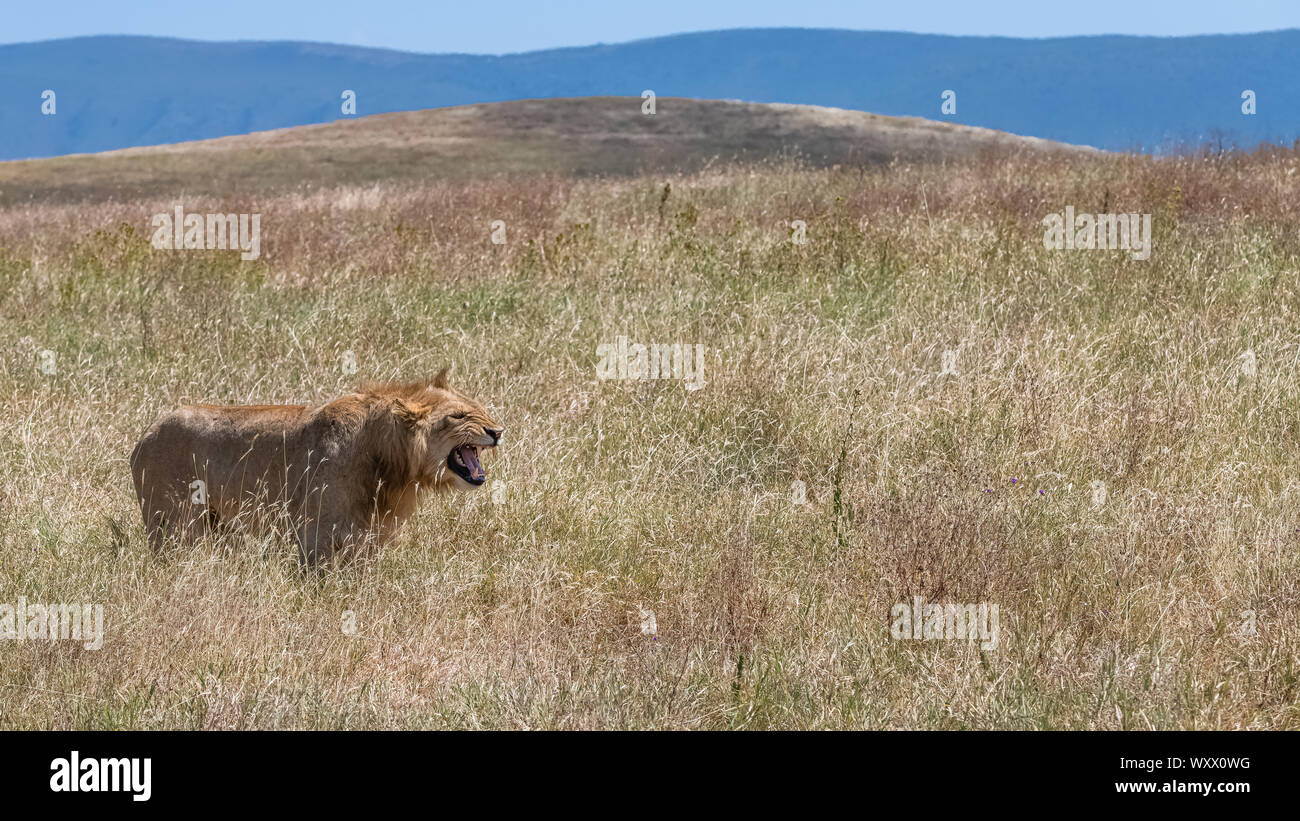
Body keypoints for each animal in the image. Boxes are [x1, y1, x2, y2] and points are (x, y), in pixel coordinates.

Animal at [128, 371, 501, 563]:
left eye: (480, 409)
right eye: (459, 416)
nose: (497, 431)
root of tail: (145, 435)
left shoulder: (367, 538)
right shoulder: (315, 534)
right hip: (173, 526)